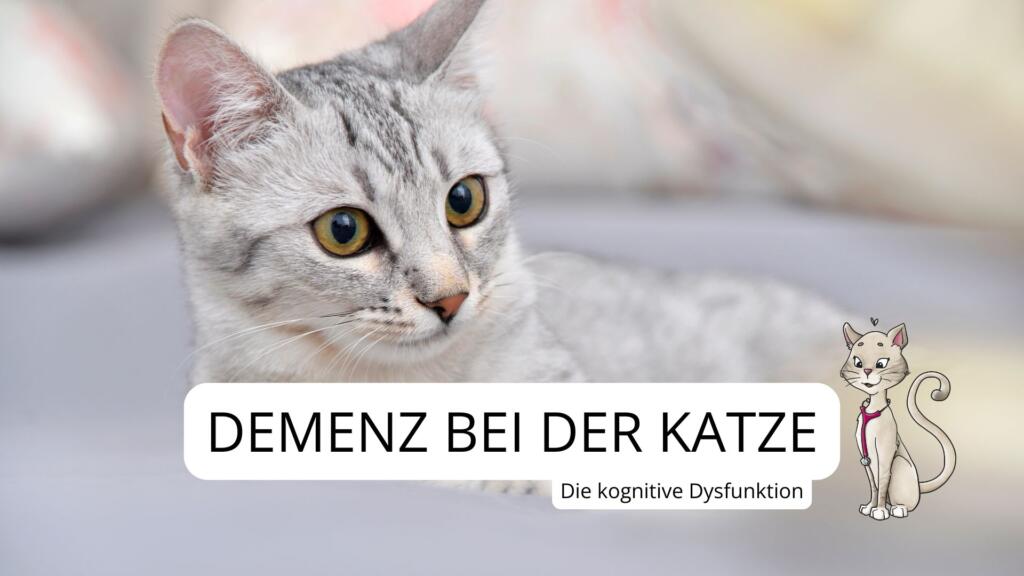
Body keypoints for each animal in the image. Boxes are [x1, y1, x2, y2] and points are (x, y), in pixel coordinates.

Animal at [840, 322, 956, 520]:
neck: (872, 409)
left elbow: (881, 483)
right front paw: (869, 507)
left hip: (900, 464)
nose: (867, 371)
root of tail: (918, 485)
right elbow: (873, 486)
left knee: (903, 501)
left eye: (881, 363)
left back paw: (897, 508)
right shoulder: (864, 456)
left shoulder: (886, 453)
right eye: (857, 363)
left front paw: (879, 511)